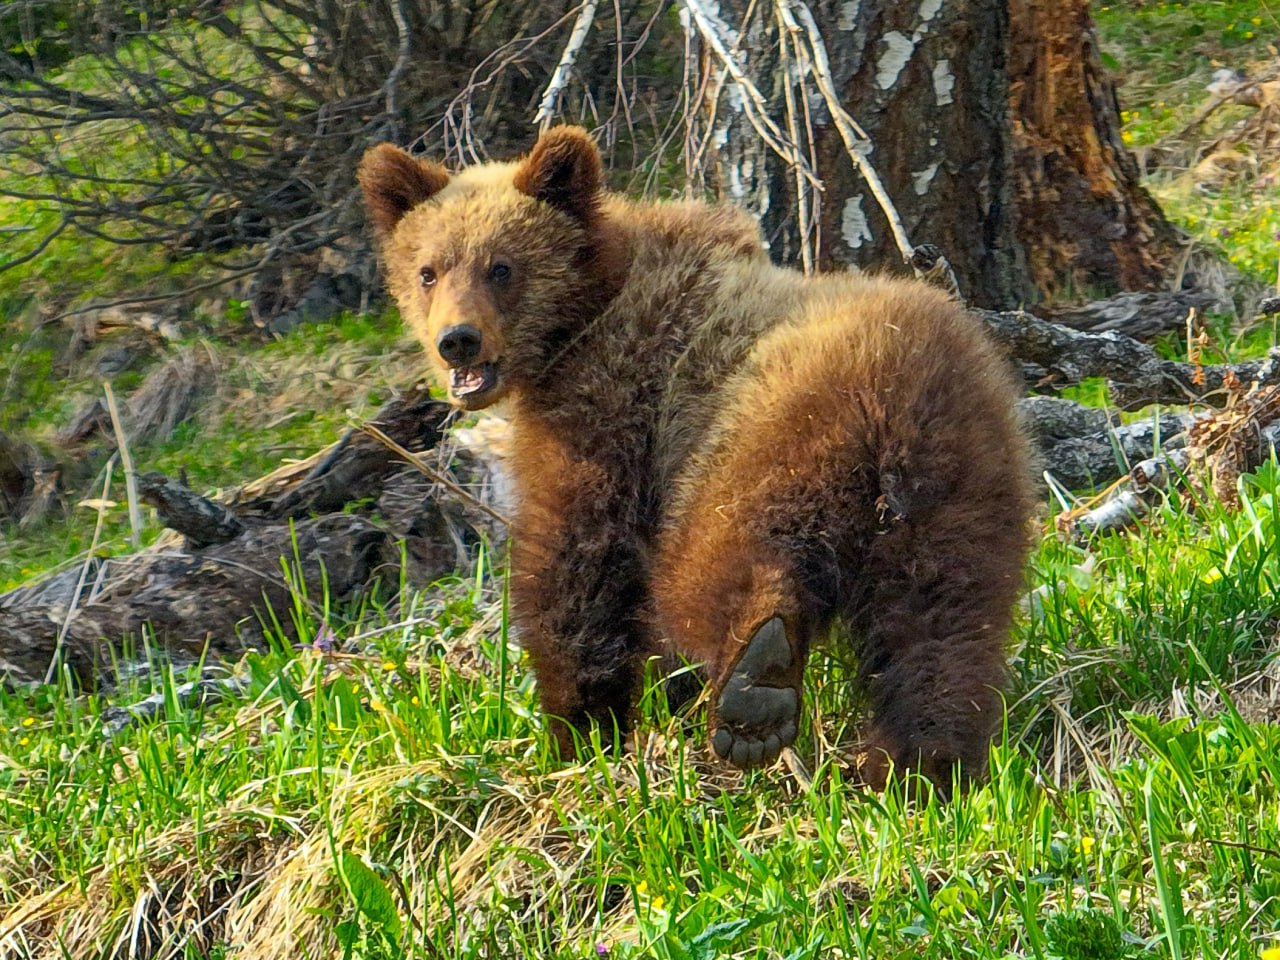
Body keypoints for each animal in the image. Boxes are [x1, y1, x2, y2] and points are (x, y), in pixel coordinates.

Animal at [355, 124, 1034, 793]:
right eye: (428, 270)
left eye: (502, 267)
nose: (457, 340)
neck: (586, 314)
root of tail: (898, 390)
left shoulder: (611, 405)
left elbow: (579, 559)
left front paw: (580, 728)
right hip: (962, 490)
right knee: (941, 629)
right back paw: (921, 766)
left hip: (767, 427)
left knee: (719, 555)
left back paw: (755, 685)